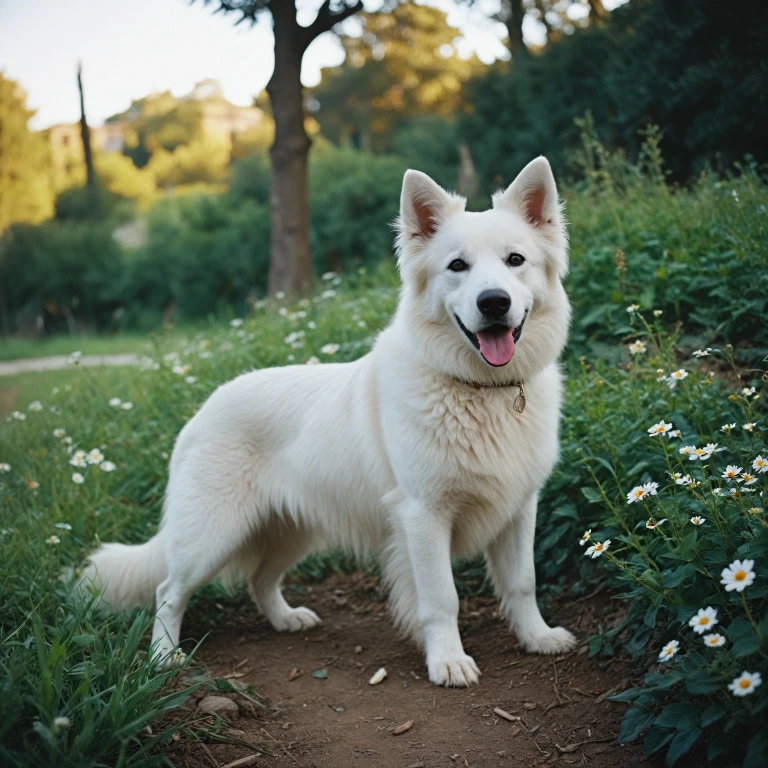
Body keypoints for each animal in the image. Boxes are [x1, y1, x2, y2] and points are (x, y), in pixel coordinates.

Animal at [84, 159, 576, 688]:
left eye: (515, 260)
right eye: (457, 266)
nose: (494, 303)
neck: (480, 391)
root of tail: (202, 410)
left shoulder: (519, 508)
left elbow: (523, 582)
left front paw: (537, 638)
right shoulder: (424, 516)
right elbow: (442, 598)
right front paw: (447, 660)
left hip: (289, 530)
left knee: (260, 579)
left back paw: (286, 619)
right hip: (211, 538)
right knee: (168, 591)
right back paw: (164, 657)